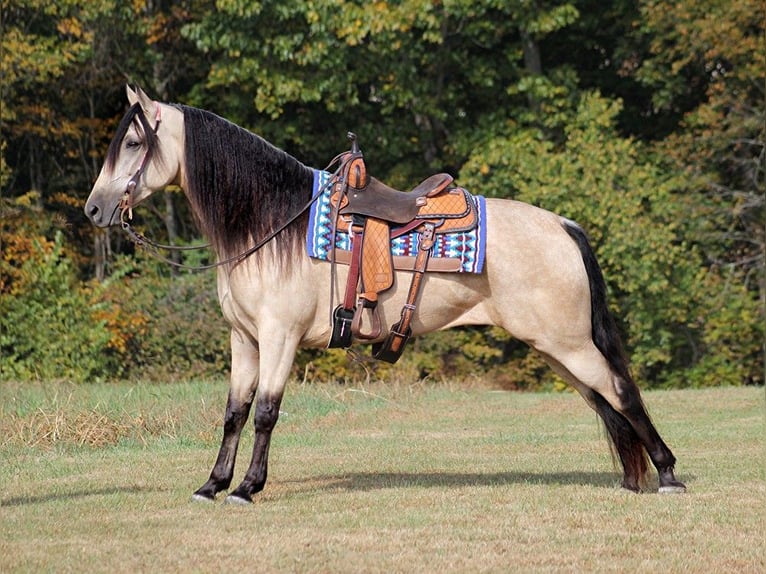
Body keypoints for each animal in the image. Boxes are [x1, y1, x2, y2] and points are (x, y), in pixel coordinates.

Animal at [85, 85, 688, 504]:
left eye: (133, 143)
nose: (94, 209)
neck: (272, 224)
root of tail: (564, 225)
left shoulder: (280, 338)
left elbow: (266, 413)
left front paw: (247, 487)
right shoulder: (244, 339)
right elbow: (234, 412)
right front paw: (212, 484)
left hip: (570, 345)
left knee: (621, 391)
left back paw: (667, 473)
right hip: (557, 350)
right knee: (604, 399)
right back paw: (636, 476)